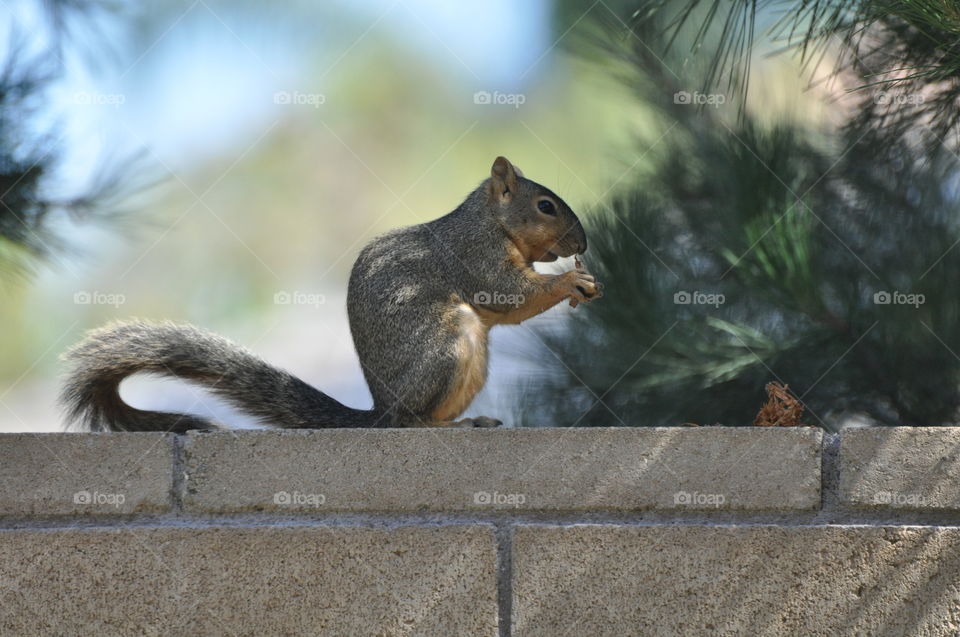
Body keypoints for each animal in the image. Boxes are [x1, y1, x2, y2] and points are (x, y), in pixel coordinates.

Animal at [62, 155, 600, 432]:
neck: (491, 221)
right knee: (409, 423)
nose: (583, 244)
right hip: (449, 347)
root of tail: (379, 410)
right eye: (546, 205)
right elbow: (504, 294)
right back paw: (445, 426)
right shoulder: (474, 253)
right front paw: (569, 281)